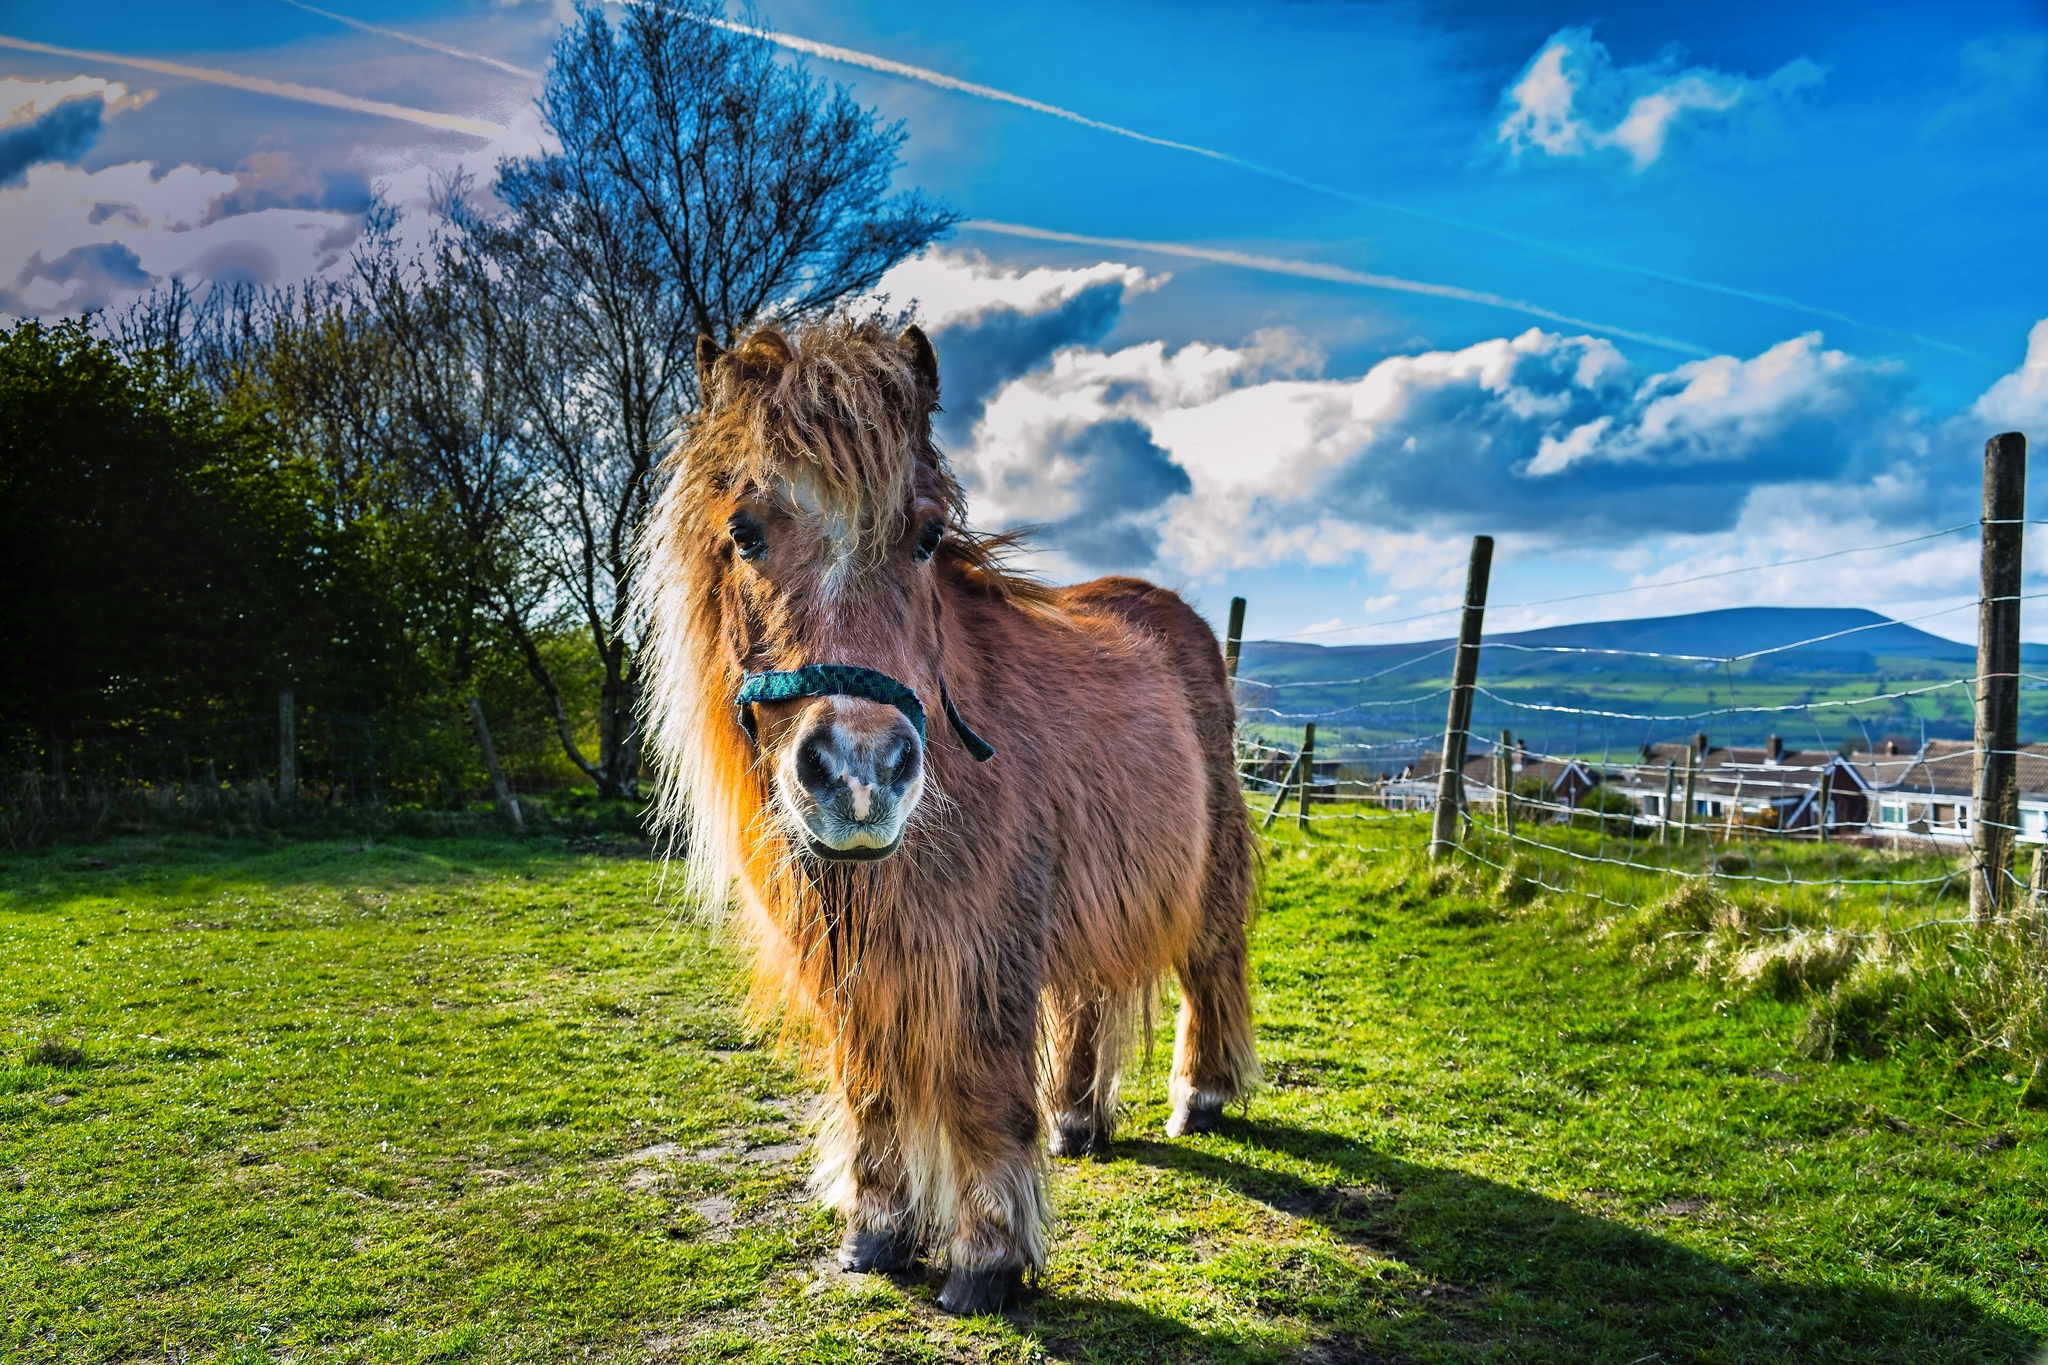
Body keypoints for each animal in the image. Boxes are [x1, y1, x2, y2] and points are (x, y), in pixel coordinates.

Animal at [637, 317, 1257, 1315]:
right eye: (744, 530)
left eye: (927, 535)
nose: (860, 774)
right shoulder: (854, 961)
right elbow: (870, 1085)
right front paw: (877, 1229)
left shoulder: (984, 952)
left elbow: (979, 1091)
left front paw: (988, 1257)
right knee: (1087, 996)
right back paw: (1078, 1117)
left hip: (1211, 872)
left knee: (1212, 965)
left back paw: (1200, 1094)